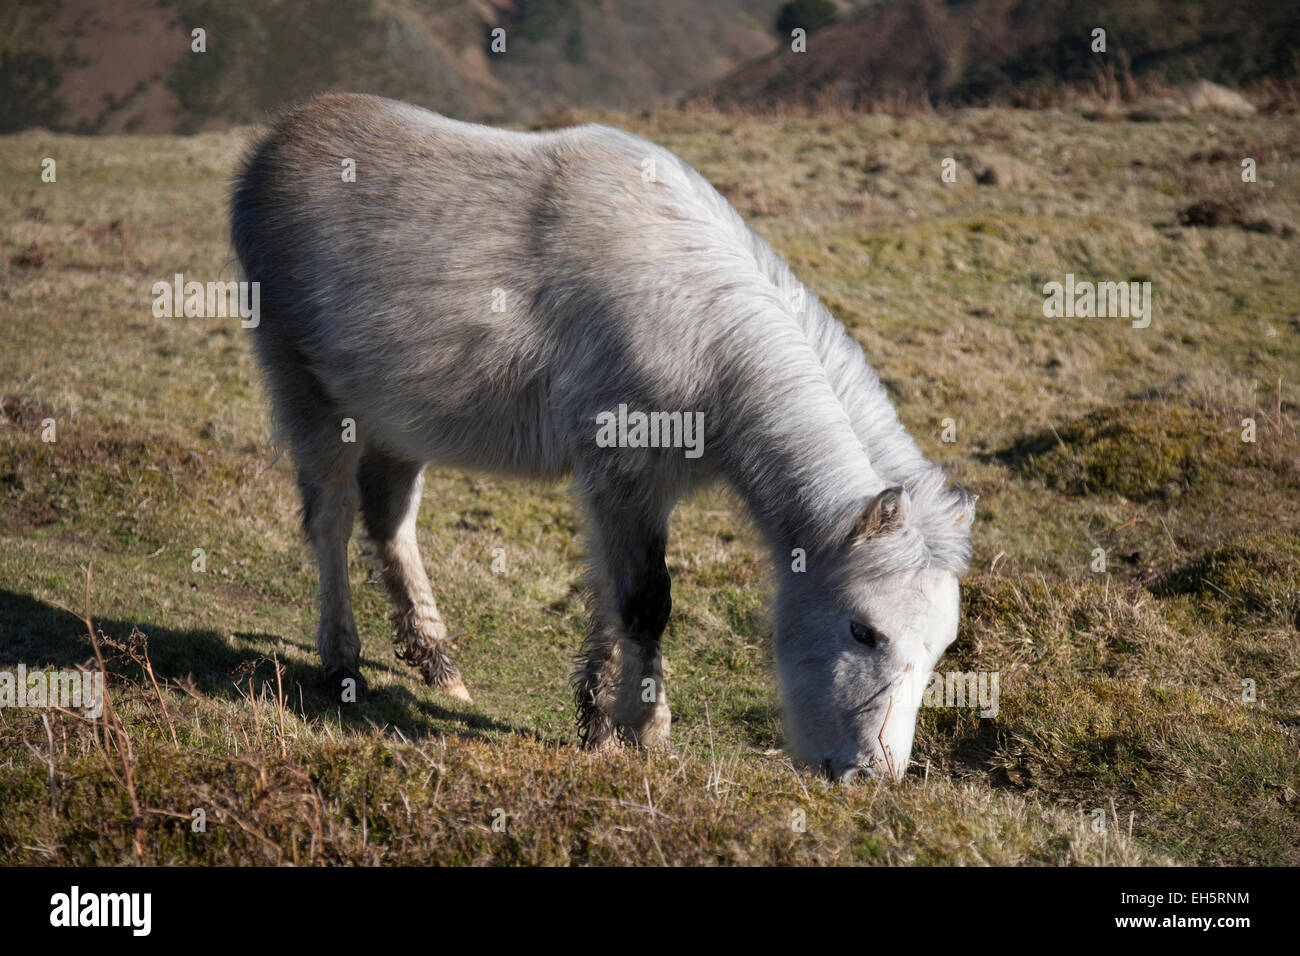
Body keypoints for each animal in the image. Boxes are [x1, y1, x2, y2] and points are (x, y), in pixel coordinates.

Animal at [231, 93, 977, 785]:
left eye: (941, 649)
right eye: (863, 630)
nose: (871, 775)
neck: (701, 328)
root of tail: (276, 143)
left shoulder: (642, 488)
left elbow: (613, 597)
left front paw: (598, 722)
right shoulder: (622, 476)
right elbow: (645, 602)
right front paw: (647, 730)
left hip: (399, 421)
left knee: (389, 521)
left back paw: (439, 663)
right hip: (309, 394)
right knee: (331, 520)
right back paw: (342, 662)